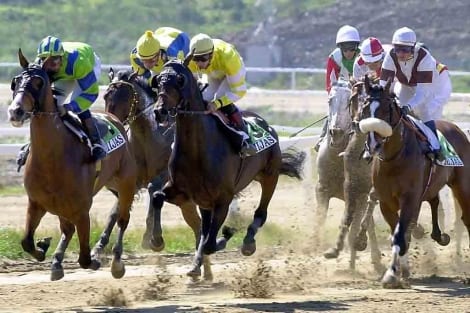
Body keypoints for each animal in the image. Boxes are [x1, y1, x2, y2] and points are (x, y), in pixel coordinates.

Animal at [6, 49, 136, 280]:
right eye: (16, 81)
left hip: (126, 184)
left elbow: (84, 258)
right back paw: (57, 262)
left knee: (122, 219)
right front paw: (43, 246)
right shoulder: (36, 203)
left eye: (38, 82)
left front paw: (95, 259)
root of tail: (114, 117)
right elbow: (27, 242)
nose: (15, 111)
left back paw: (117, 263)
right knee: (67, 229)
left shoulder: (82, 211)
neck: (52, 158)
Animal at [102, 68, 214, 280]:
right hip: (186, 203)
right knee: (197, 226)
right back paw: (204, 270)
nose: (112, 125)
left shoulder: (164, 177)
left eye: (125, 96)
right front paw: (106, 254)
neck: (150, 137)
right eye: (105, 96)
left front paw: (154, 238)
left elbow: (154, 194)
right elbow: (116, 212)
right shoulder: (131, 182)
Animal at [151, 56, 304, 278]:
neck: (198, 150)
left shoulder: (223, 198)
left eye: (179, 81)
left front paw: (228, 233)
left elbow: (210, 243)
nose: (159, 111)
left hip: (270, 175)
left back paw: (248, 242)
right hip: (205, 200)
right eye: (158, 81)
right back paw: (196, 266)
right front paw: (156, 240)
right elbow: (157, 198)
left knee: (261, 213)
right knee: (205, 230)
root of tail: (267, 125)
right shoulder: (182, 192)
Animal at [354, 77, 468, 286]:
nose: (372, 145)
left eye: (386, 109)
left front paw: (392, 273)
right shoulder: (386, 201)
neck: (395, 158)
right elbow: (397, 233)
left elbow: (400, 235)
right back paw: (438, 235)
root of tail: (457, 128)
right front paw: (399, 271)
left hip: (462, 187)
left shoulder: (410, 198)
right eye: (365, 109)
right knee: (434, 201)